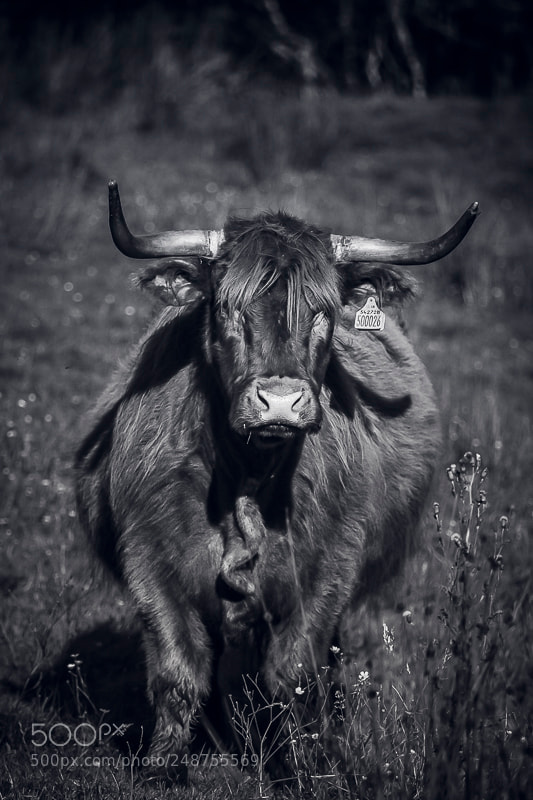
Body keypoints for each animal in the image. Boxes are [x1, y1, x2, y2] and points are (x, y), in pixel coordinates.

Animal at [75, 181, 478, 772]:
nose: (281, 402)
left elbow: (295, 675)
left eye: (324, 311)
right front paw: (163, 767)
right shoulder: (150, 562)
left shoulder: (328, 569)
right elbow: (178, 670)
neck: (246, 480)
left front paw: (306, 765)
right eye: (225, 307)